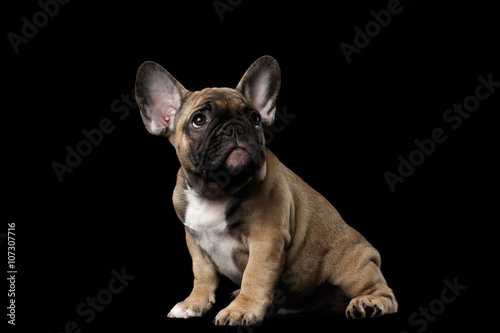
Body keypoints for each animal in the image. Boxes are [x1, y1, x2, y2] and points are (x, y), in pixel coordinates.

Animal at [135, 55, 396, 324]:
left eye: (255, 119)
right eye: (199, 121)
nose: (235, 127)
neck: (216, 190)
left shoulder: (266, 239)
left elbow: (256, 275)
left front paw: (241, 309)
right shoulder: (195, 243)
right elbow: (203, 275)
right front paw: (194, 303)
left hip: (352, 269)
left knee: (384, 293)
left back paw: (368, 303)